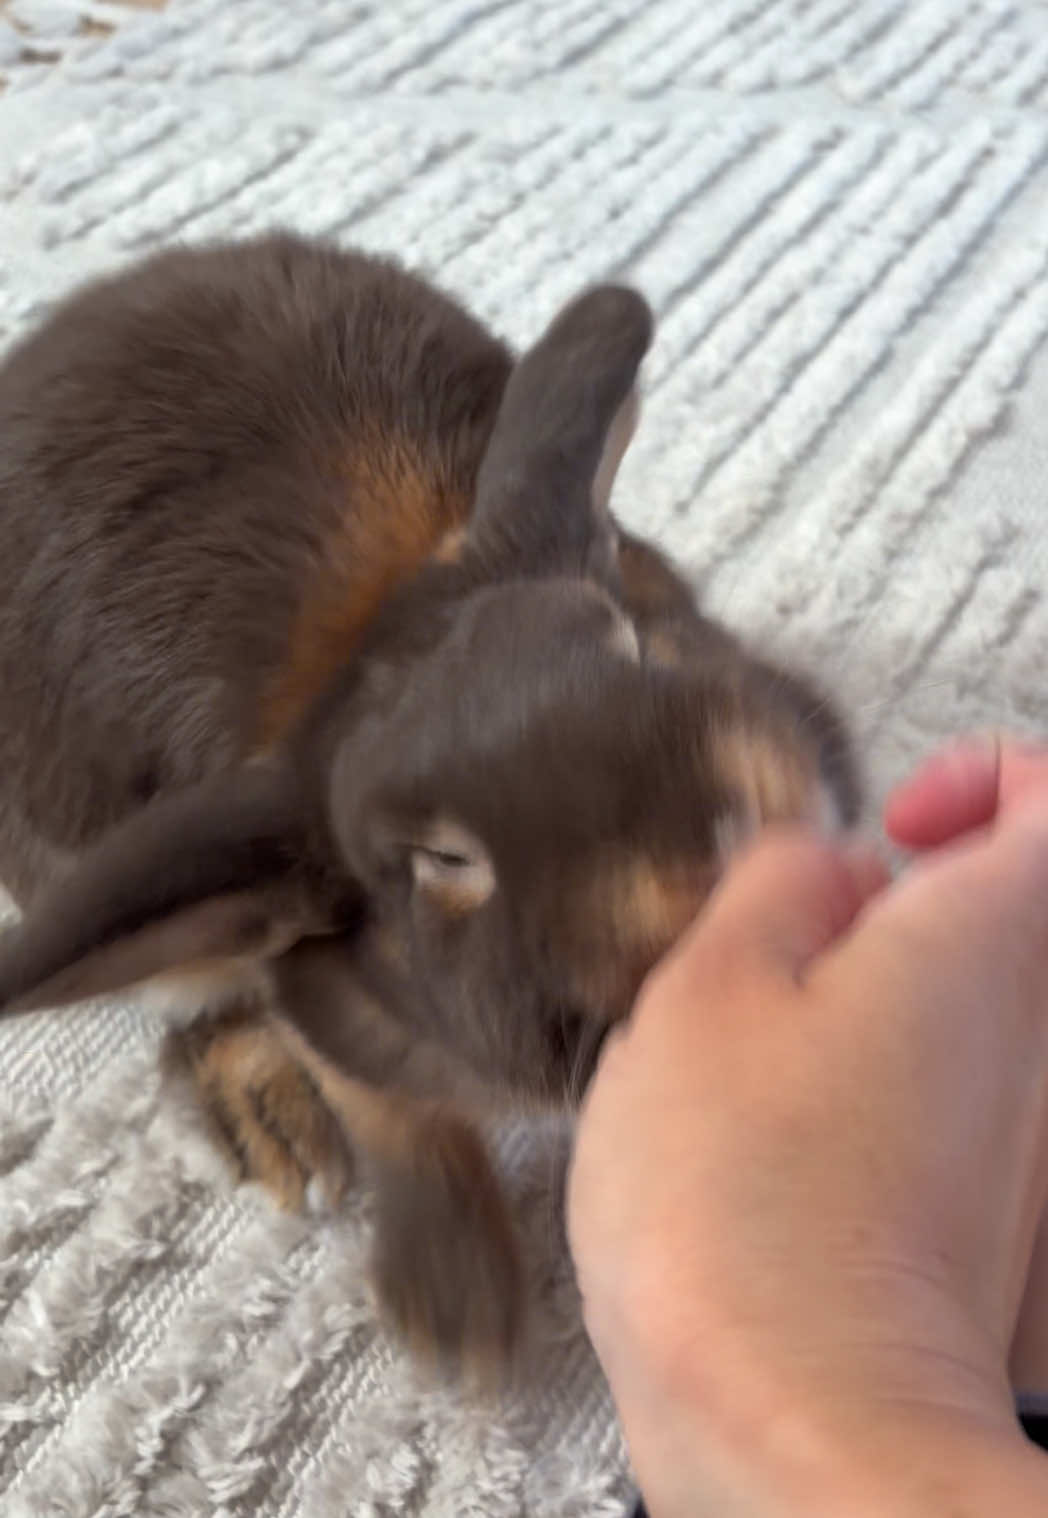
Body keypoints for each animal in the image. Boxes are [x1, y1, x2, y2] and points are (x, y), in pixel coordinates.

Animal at [0, 232, 860, 1384]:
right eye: (443, 860)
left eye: (634, 639)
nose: (715, 856)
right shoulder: (324, 987)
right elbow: (395, 1119)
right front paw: (456, 1315)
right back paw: (274, 1123)